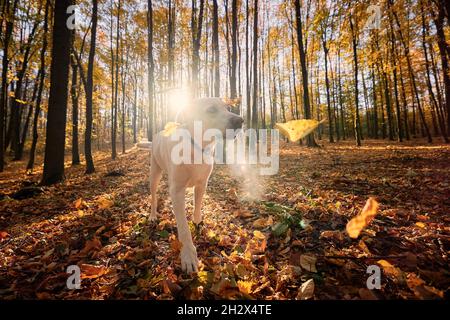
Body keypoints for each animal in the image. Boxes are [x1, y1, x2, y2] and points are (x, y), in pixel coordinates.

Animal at [150, 97, 243, 272]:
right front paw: (188, 254)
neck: (197, 148)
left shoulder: (202, 184)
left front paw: (198, 221)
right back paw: (152, 215)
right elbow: (184, 228)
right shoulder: (177, 191)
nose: (240, 120)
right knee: (153, 196)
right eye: (211, 110)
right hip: (154, 173)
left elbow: (198, 205)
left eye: (227, 108)